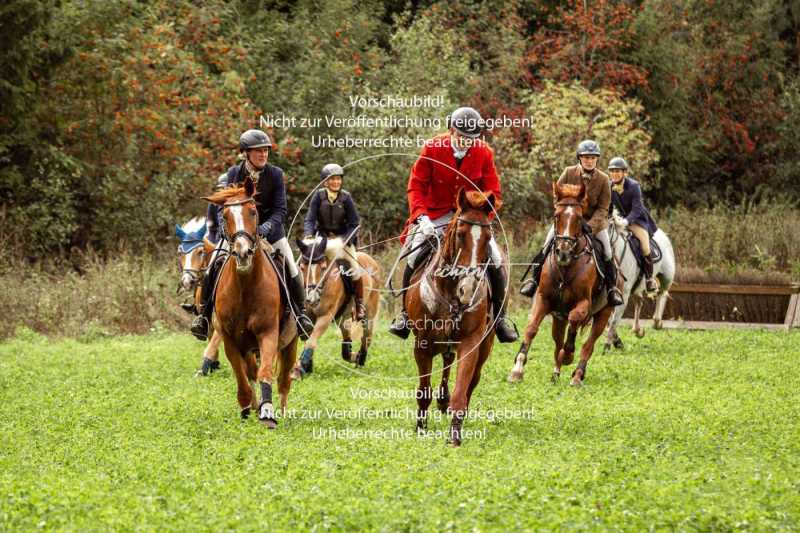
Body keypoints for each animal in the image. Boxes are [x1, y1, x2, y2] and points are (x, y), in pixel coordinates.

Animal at [202, 177, 298, 426]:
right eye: (225, 216)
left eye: (253, 211)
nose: (243, 252)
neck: (245, 287)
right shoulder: (229, 339)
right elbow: (241, 376)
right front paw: (247, 407)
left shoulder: (268, 333)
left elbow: (265, 373)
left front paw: (267, 412)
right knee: (251, 372)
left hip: (290, 342)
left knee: (283, 380)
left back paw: (282, 411)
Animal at [292, 237, 382, 378]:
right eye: (302, 267)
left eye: (323, 267)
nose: (311, 298)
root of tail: (370, 259)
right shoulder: (308, 318)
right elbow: (308, 337)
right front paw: (306, 367)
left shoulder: (325, 317)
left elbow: (311, 341)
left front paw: (300, 369)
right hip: (343, 317)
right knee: (346, 341)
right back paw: (353, 356)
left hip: (369, 314)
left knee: (366, 337)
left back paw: (360, 359)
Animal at [406, 187, 500, 444]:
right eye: (460, 234)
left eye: (488, 237)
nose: (468, 290)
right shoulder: (422, 345)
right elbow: (423, 391)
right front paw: (420, 428)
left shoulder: (470, 342)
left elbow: (461, 390)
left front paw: (455, 436)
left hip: (485, 345)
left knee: (470, 381)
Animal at [510, 183, 616, 386]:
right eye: (556, 215)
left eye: (579, 217)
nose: (563, 252)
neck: (566, 268)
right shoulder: (543, 299)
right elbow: (531, 329)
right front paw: (517, 370)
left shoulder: (584, 303)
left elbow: (575, 319)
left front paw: (568, 355)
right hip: (559, 318)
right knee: (558, 342)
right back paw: (556, 373)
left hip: (603, 314)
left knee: (588, 345)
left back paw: (577, 375)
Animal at [608, 212, 676, 354]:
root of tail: (662, 233)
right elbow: (610, 320)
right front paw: (617, 342)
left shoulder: (623, 293)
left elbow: (613, 320)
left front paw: (612, 344)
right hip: (637, 287)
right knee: (639, 302)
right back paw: (638, 330)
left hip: (666, 276)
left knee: (662, 293)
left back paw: (657, 322)